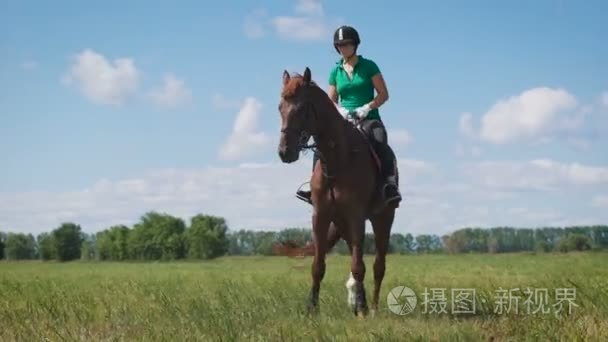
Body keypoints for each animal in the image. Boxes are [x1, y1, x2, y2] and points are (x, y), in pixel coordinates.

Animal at [276, 67, 400, 318]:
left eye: (302, 108)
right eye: (279, 107)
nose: (285, 152)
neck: (338, 160)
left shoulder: (356, 216)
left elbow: (359, 266)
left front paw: (362, 309)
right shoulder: (321, 216)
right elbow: (318, 266)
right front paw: (311, 308)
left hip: (383, 218)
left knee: (378, 266)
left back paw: (372, 308)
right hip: (341, 223)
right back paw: (359, 301)